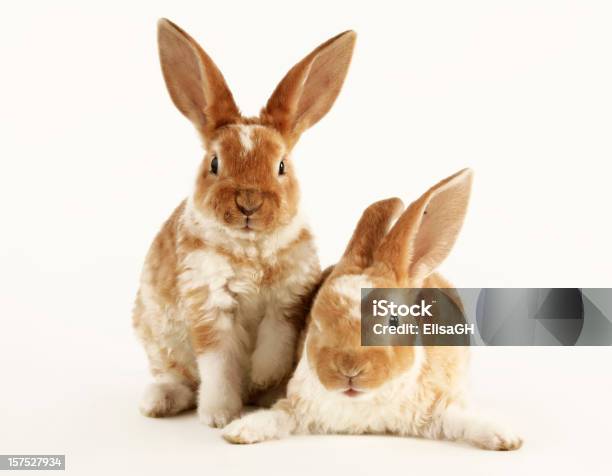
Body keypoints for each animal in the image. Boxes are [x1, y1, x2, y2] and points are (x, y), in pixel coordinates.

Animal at [134, 19, 354, 428]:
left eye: (281, 165)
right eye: (214, 163)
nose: (248, 203)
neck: (252, 249)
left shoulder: (287, 302)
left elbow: (273, 345)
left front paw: (264, 377)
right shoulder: (210, 305)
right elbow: (219, 366)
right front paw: (220, 415)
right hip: (156, 338)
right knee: (179, 378)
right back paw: (158, 402)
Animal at [222, 168, 524, 450]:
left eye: (393, 321)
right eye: (316, 322)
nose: (348, 369)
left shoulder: (438, 409)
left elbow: (461, 420)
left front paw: (505, 437)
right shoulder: (298, 408)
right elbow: (276, 417)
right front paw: (239, 430)